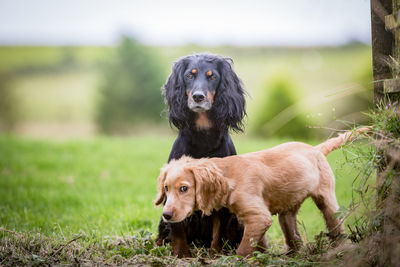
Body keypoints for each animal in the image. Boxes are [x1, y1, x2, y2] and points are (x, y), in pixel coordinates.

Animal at [153, 130, 368, 258]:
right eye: (166, 188)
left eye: (184, 188)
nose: (166, 215)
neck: (229, 174)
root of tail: (315, 149)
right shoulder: (252, 218)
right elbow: (256, 242)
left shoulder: (258, 216)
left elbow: (244, 248)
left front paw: (239, 259)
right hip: (287, 212)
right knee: (293, 235)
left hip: (327, 200)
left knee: (335, 224)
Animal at [157, 52, 247, 258]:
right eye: (189, 75)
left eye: (212, 77)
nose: (198, 97)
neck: (203, 136)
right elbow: (177, 227)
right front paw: (181, 254)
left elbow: (218, 229)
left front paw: (215, 253)